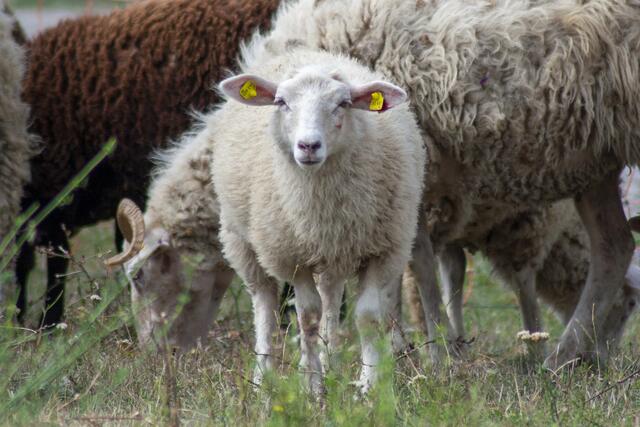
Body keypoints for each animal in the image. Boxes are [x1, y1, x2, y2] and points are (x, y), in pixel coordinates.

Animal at [252, 0, 640, 369]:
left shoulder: (415, 173)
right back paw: (563, 357)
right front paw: (407, 349)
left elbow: (419, 265)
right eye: (281, 105)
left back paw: (561, 355)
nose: (307, 147)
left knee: (613, 247)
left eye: (340, 105)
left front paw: (434, 352)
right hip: (596, 160)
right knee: (614, 245)